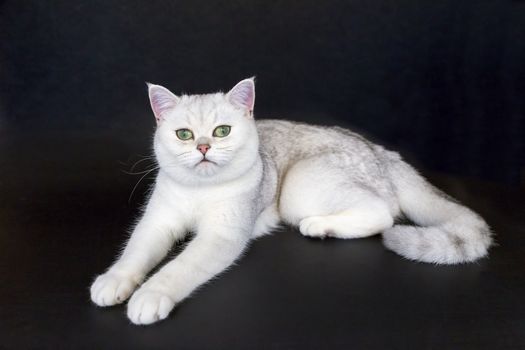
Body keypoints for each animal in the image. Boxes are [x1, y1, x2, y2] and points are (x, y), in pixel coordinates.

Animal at [89, 78, 492, 324]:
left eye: (222, 131)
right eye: (184, 135)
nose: (203, 147)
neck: (200, 192)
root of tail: (381, 151)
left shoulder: (222, 237)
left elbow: (178, 268)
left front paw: (150, 295)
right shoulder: (157, 221)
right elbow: (135, 252)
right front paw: (114, 281)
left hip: (300, 187)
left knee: (384, 215)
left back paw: (320, 226)